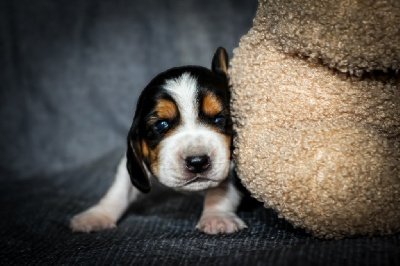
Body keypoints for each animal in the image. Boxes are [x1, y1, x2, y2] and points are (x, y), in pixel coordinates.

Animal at [71, 47, 247, 235]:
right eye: (162, 124)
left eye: (219, 119)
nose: (197, 162)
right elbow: (120, 187)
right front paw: (97, 215)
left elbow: (222, 188)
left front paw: (217, 217)